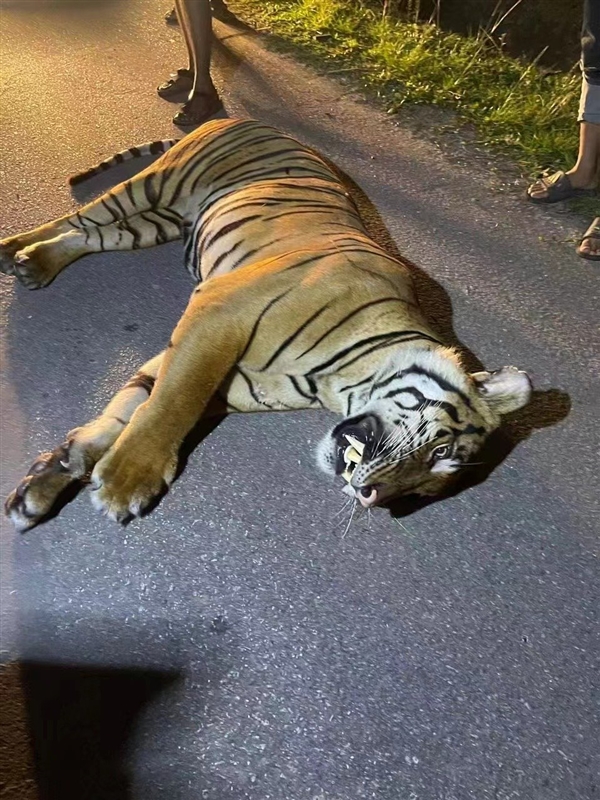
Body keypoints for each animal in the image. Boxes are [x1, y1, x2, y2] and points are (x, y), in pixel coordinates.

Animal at [1, 118, 532, 531]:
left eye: (422, 491)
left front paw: (45, 484)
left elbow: (130, 410)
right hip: (155, 186)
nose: (373, 499)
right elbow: (172, 404)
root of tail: (247, 118)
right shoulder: (218, 315)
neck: (334, 382)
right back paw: (13, 249)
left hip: (157, 222)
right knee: (79, 216)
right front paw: (127, 481)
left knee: (93, 235)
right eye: (440, 450)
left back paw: (35, 264)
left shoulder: (224, 385)